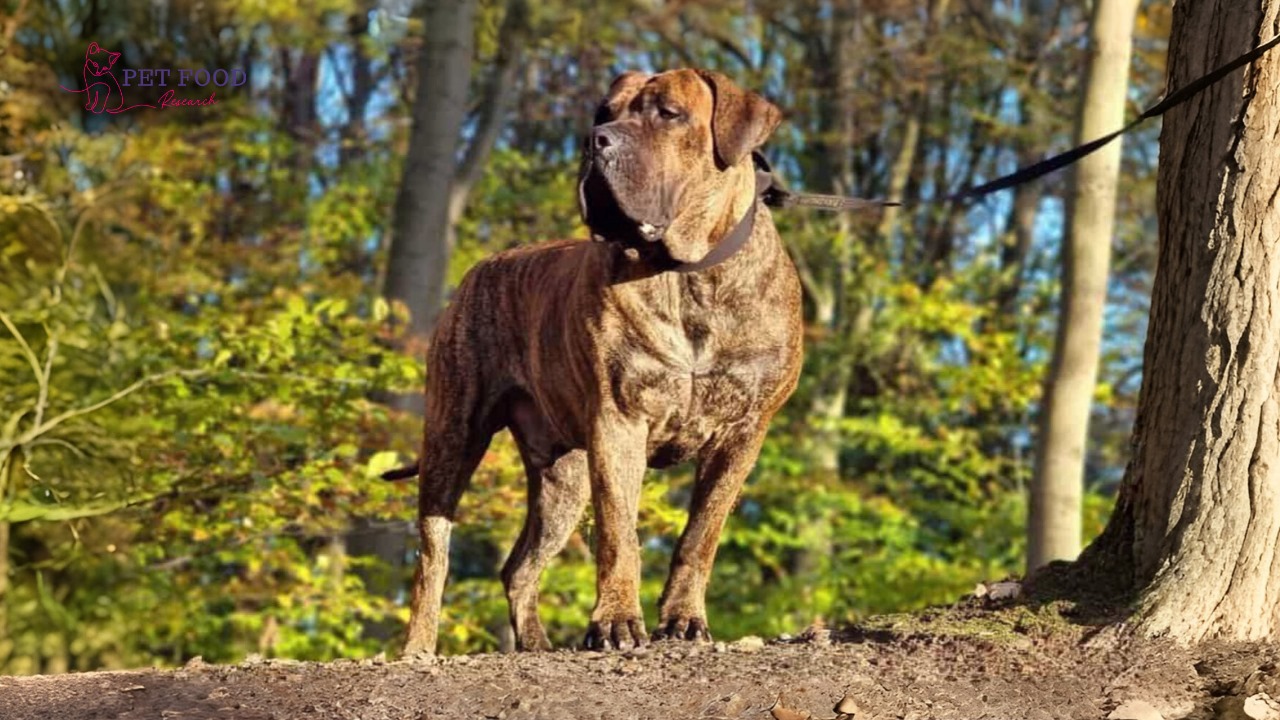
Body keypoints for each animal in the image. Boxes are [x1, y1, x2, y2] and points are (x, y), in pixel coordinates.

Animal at [396, 70, 798, 653]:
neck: (688, 274)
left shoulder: (742, 434)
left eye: (669, 114)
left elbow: (701, 535)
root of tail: (483, 267)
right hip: (454, 436)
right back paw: (419, 648)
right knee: (433, 557)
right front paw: (616, 621)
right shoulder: (619, 423)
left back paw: (536, 646)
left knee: (518, 567)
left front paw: (682, 619)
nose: (594, 141)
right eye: (603, 113)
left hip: (563, 479)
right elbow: (619, 532)